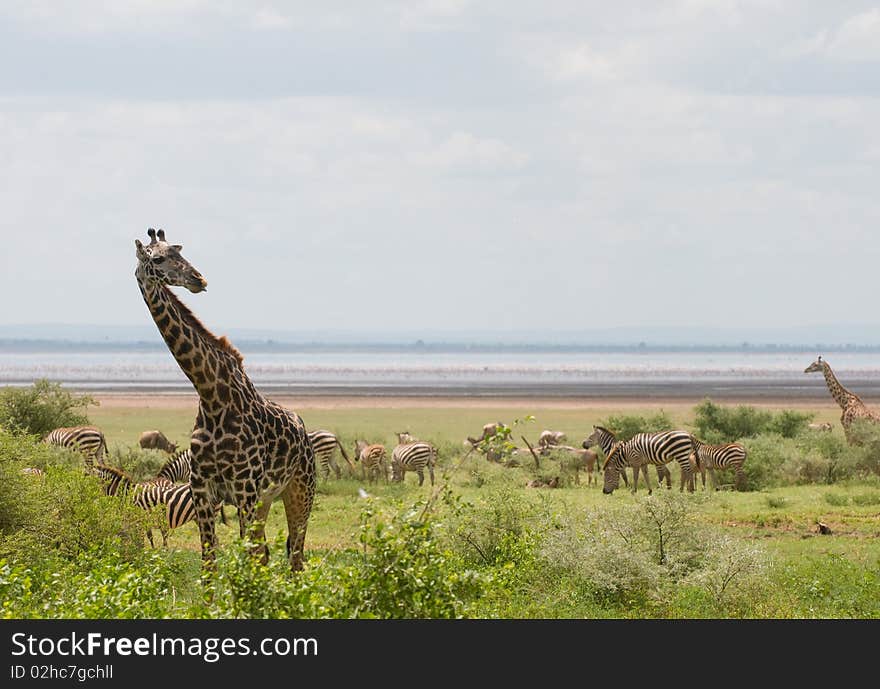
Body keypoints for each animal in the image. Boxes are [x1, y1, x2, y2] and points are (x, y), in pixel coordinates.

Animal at [134, 228, 316, 572]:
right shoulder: (203, 489)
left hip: (301, 490)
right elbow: (209, 562)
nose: (199, 279)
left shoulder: (244, 488)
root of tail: (303, 430)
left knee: (296, 556)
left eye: (180, 251)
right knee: (266, 554)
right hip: (266, 500)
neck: (211, 393)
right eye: (159, 258)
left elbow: (245, 559)